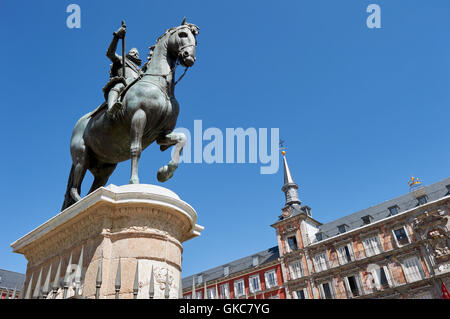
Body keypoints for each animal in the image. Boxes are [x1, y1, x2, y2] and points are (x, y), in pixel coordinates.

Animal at [61, 20, 199, 210]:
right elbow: (136, 149)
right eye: (182, 34)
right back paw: (80, 204)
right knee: (75, 188)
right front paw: (134, 181)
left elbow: (181, 140)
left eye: (195, 39)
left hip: (105, 167)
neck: (159, 86)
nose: (189, 57)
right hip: (81, 156)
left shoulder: (161, 134)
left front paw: (164, 172)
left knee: (92, 188)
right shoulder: (139, 117)